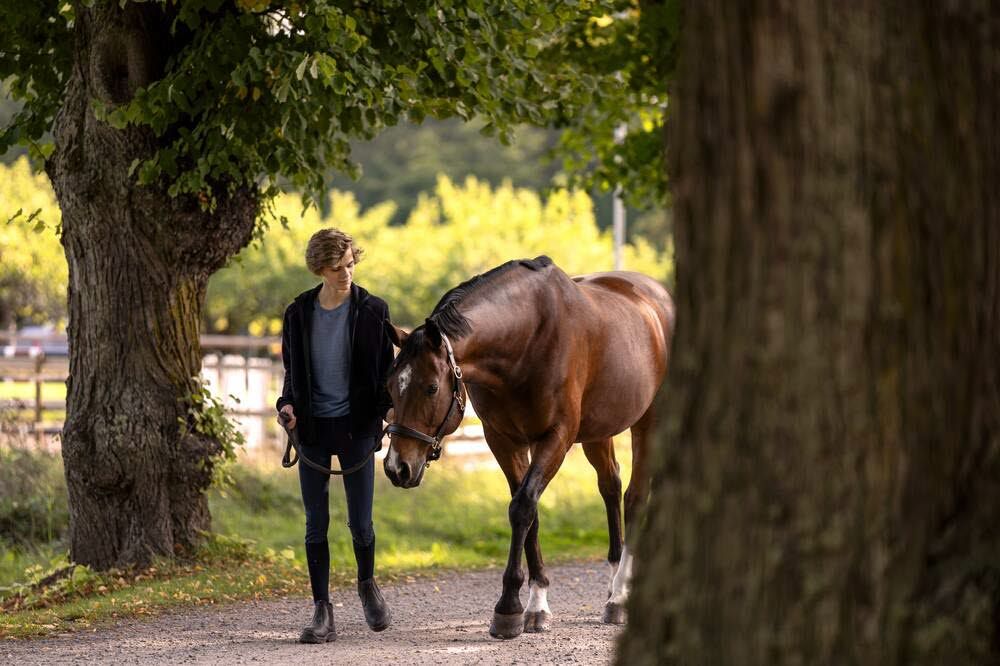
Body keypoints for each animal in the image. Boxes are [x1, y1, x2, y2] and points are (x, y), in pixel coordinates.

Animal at [382, 255, 673, 639]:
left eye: (430, 387)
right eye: (390, 386)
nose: (396, 467)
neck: (526, 339)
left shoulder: (556, 437)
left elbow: (523, 507)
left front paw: (509, 608)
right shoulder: (503, 440)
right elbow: (528, 512)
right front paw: (536, 603)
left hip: (648, 422)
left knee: (634, 497)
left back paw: (620, 598)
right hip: (598, 431)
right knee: (610, 486)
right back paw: (613, 584)